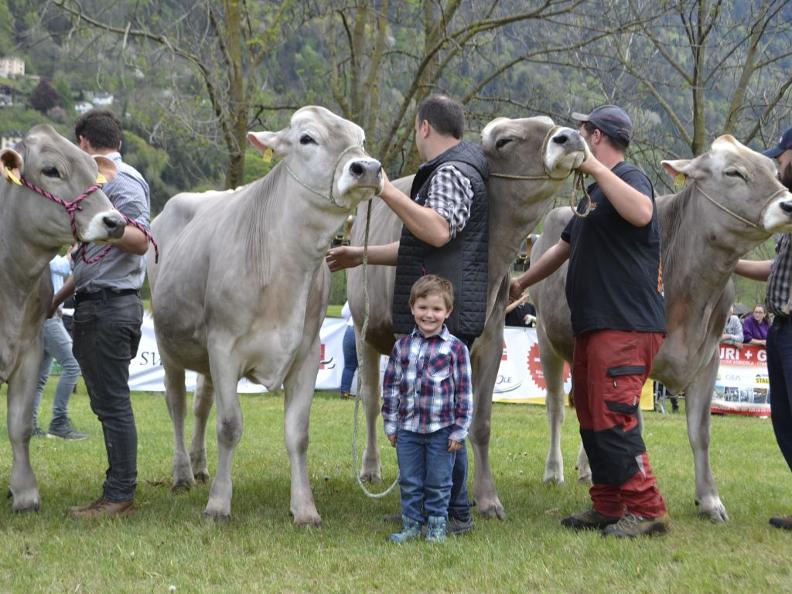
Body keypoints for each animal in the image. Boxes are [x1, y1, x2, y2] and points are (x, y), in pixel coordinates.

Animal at [0, 123, 124, 508]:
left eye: (94, 170)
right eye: (51, 170)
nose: (115, 221)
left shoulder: (30, 349)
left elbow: (20, 424)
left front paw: (24, 492)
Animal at [150, 106, 386, 524]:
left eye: (359, 138)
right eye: (307, 138)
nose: (367, 168)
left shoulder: (305, 354)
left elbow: (298, 433)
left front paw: (304, 508)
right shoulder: (224, 347)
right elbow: (229, 426)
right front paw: (218, 505)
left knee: (200, 404)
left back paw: (199, 465)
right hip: (168, 347)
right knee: (176, 404)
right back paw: (182, 474)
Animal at [348, 117, 588, 520]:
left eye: (550, 124)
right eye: (506, 140)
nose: (570, 137)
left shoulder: (491, 343)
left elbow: (478, 423)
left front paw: (485, 498)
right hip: (362, 332)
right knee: (370, 400)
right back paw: (369, 467)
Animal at [528, 134, 792, 520]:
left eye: (774, 170)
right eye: (734, 172)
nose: (788, 204)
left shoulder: (708, 358)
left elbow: (700, 432)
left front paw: (710, 501)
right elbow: (630, 428)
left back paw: (589, 468)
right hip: (546, 339)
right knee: (555, 408)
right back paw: (553, 471)